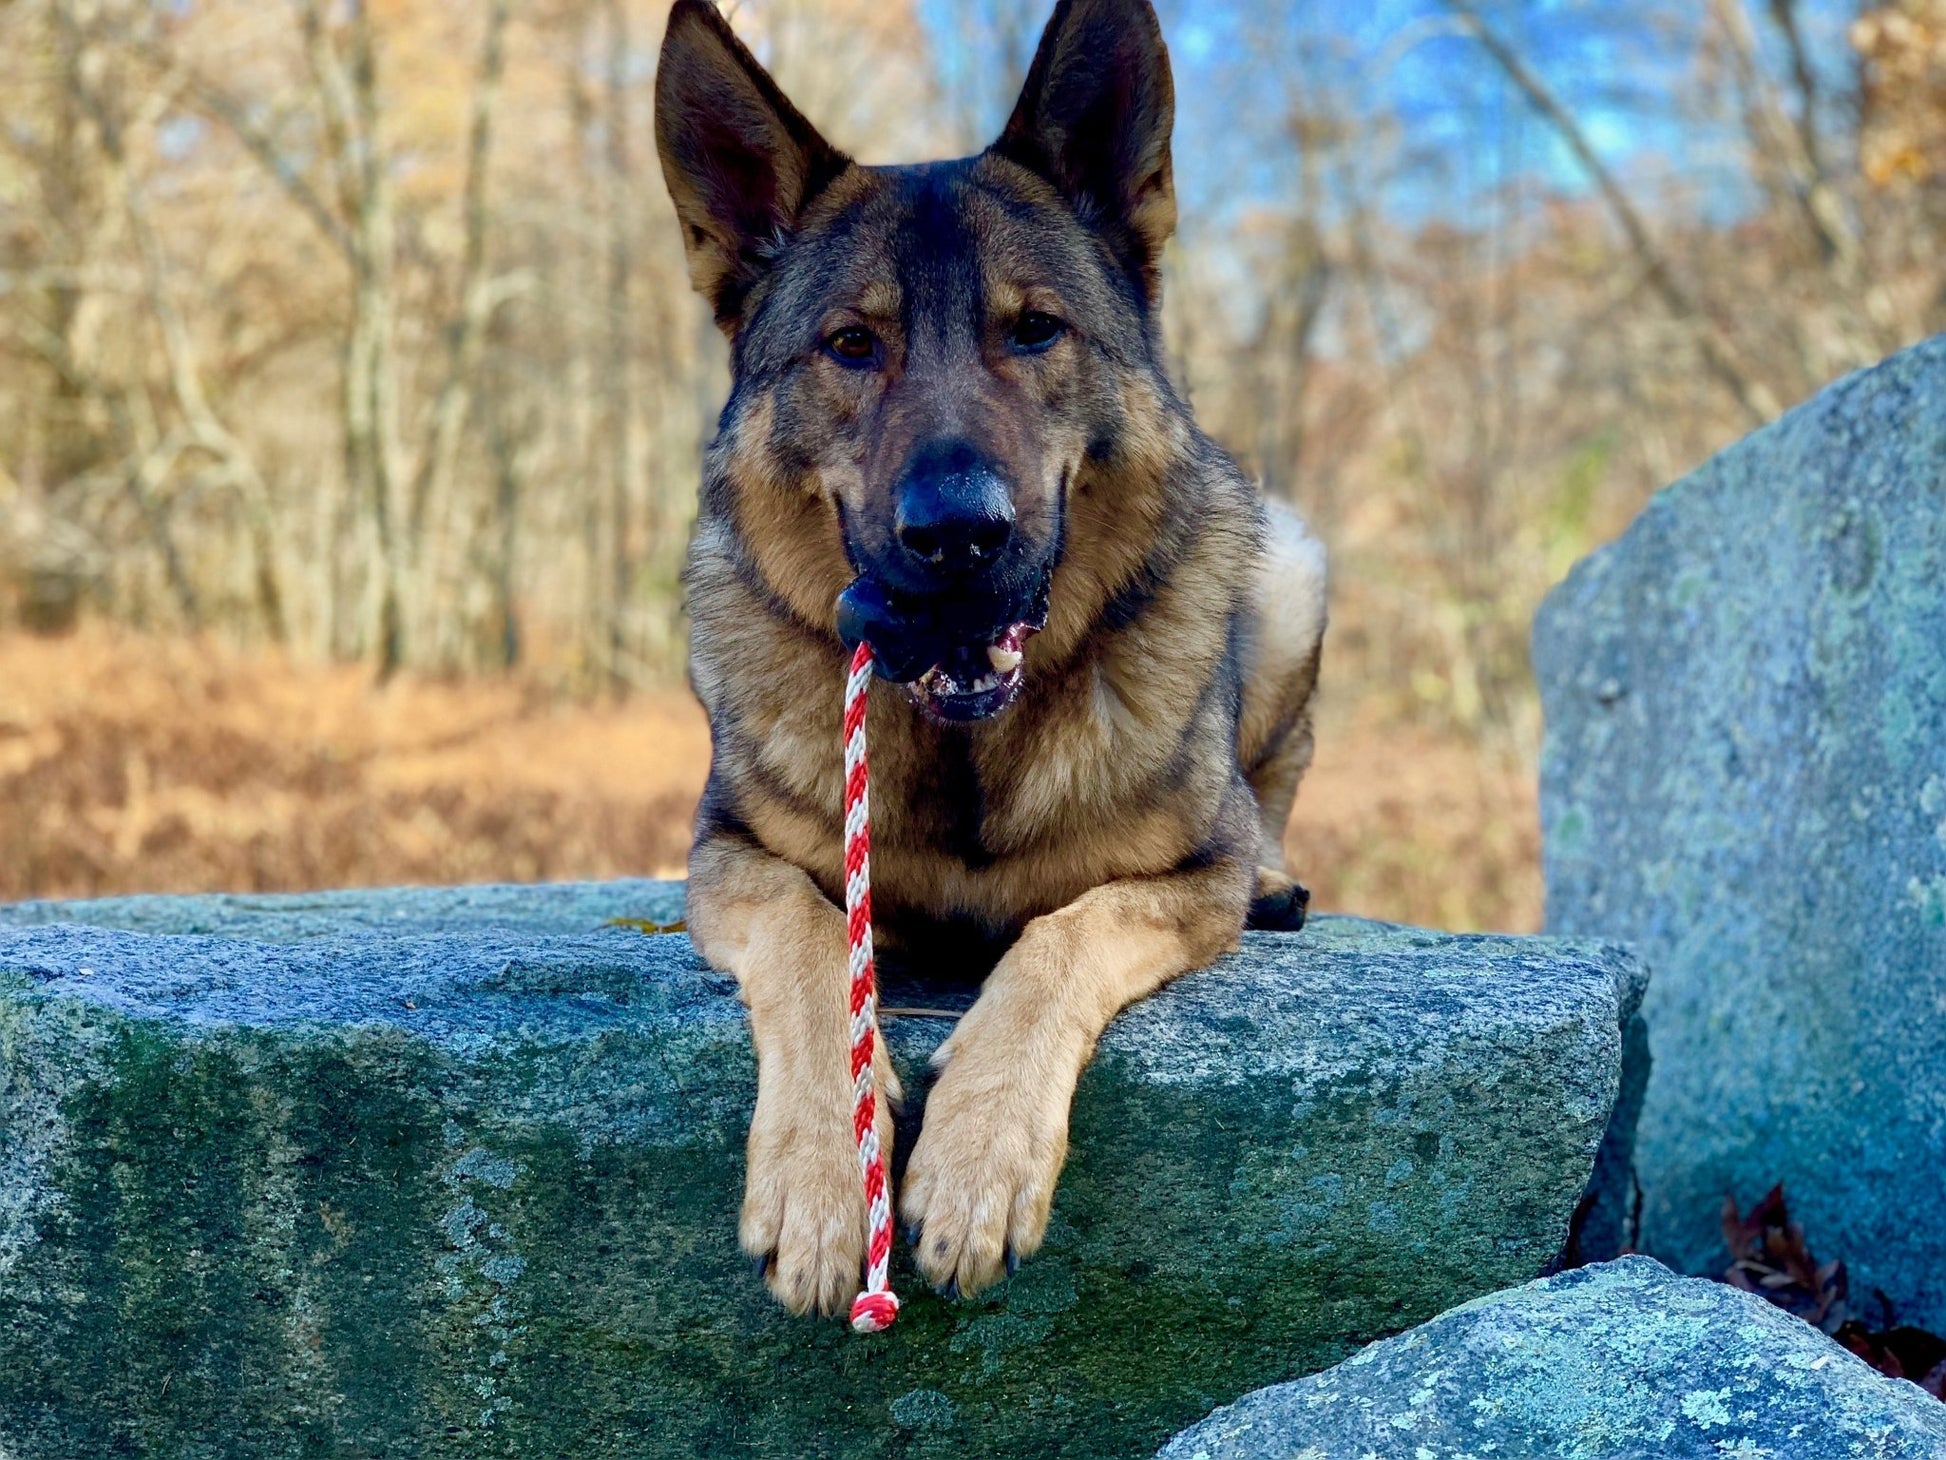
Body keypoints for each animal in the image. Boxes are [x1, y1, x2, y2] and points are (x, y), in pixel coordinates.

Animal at [653, 0, 1323, 1323]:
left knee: (1267, 784)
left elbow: (1063, 929)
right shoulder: (728, 855)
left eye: (1033, 329)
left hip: (1287, 570)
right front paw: (824, 1171)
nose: (956, 535)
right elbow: (809, 939)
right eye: (850, 345)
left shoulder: (1185, 875)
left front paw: (978, 1153)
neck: (963, 749)